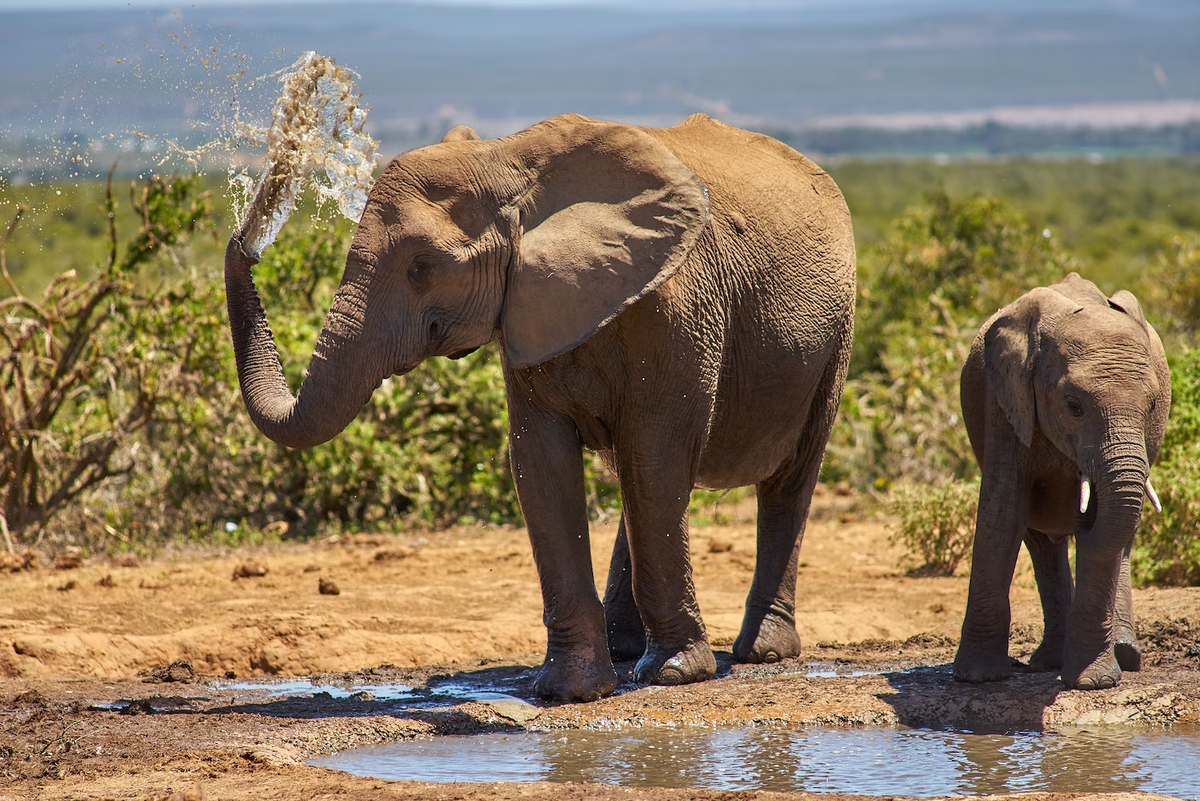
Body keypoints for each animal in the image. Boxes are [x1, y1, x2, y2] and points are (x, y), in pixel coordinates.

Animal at [225, 112, 859, 700]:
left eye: (422, 266)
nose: (248, 238)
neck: (508, 160)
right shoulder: (526, 306)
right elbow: (541, 463)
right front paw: (570, 692)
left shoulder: (677, 308)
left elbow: (655, 456)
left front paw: (676, 676)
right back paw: (626, 650)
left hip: (835, 335)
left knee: (785, 478)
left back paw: (762, 654)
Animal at [955, 273, 1171, 690]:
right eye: (1073, 406)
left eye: (1153, 405)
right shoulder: (1005, 397)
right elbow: (1003, 511)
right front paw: (977, 678)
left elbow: (1106, 527)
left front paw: (1093, 682)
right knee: (1041, 543)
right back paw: (1050, 661)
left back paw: (1123, 655)